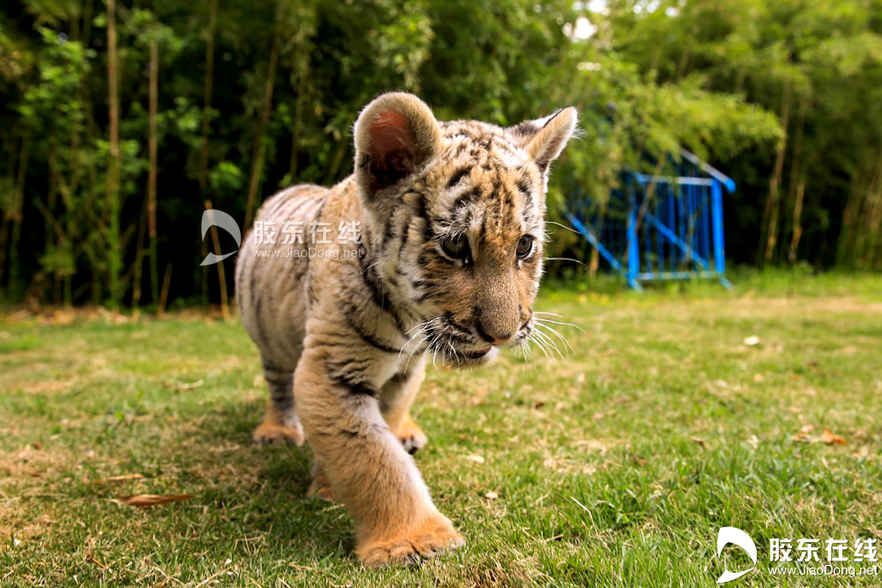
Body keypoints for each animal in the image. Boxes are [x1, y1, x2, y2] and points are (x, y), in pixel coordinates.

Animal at [234, 92, 576, 567]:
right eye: (455, 246)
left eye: (524, 246)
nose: (503, 334)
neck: (409, 324)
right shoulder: (329, 367)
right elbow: (372, 456)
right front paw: (416, 540)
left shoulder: (406, 369)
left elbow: (386, 422)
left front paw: (338, 478)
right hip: (269, 341)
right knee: (278, 386)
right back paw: (277, 431)